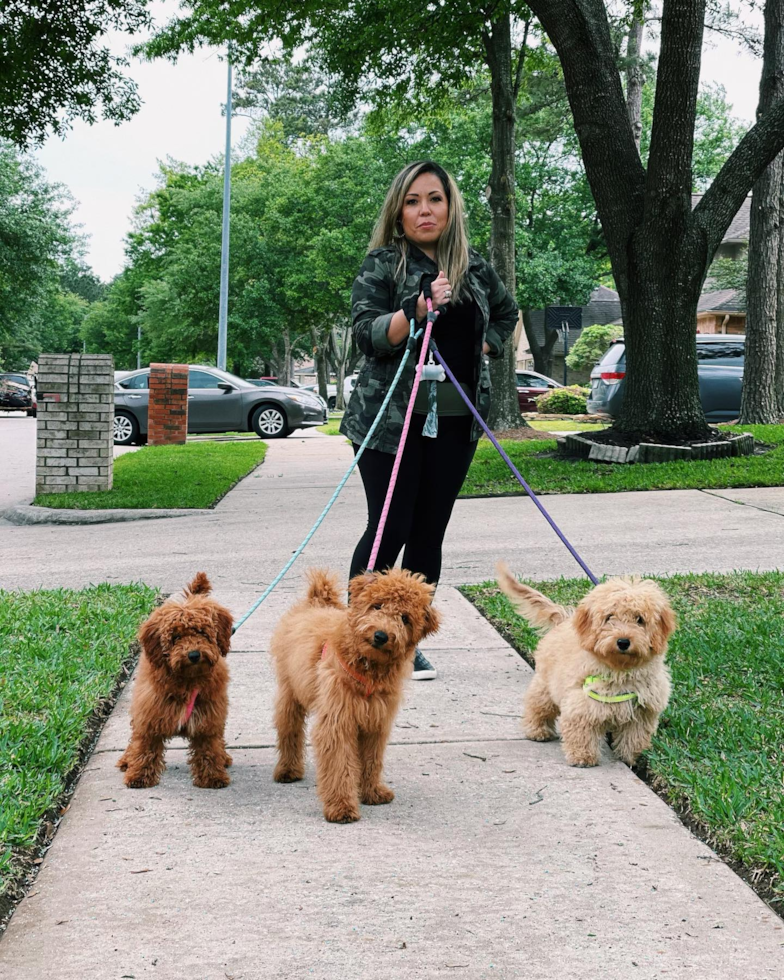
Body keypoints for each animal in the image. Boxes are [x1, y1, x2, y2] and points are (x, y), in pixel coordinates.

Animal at [116, 576, 233, 788]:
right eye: (176, 637)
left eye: (202, 632)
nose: (194, 655)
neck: (187, 680)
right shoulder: (150, 712)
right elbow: (145, 746)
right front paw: (138, 775)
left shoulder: (208, 717)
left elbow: (209, 749)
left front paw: (213, 777)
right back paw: (127, 760)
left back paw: (224, 758)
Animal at [270, 572, 440, 824]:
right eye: (377, 605)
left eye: (405, 618)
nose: (381, 635)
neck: (368, 668)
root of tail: (316, 602)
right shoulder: (337, 721)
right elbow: (340, 765)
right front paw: (341, 806)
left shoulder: (375, 722)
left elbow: (372, 759)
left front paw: (372, 792)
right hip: (290, 692)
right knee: (289, 729)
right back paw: (288, 769)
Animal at [496, 564, 672, 768]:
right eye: (609, 617)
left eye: (640, 619)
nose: (623, 641)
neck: (619, 670)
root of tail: (564, 619)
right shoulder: (581, 703)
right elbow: (581, 732)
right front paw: (583, 757)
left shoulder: (644, 712)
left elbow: (634, 738)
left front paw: (631, 759)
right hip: (545, 684)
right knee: (537, 704)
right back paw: (538, 730)